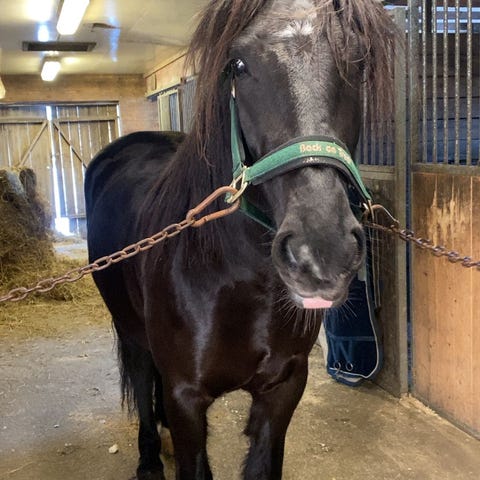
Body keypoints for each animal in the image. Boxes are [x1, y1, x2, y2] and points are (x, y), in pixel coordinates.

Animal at [85, 1, 396, 478]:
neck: (238, 278)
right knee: (140, 380)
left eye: (357, 61)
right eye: (238, 65)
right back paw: (149, 460)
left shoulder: (283, 388)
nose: (321, 253)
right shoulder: (185, 397)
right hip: (129, 329)